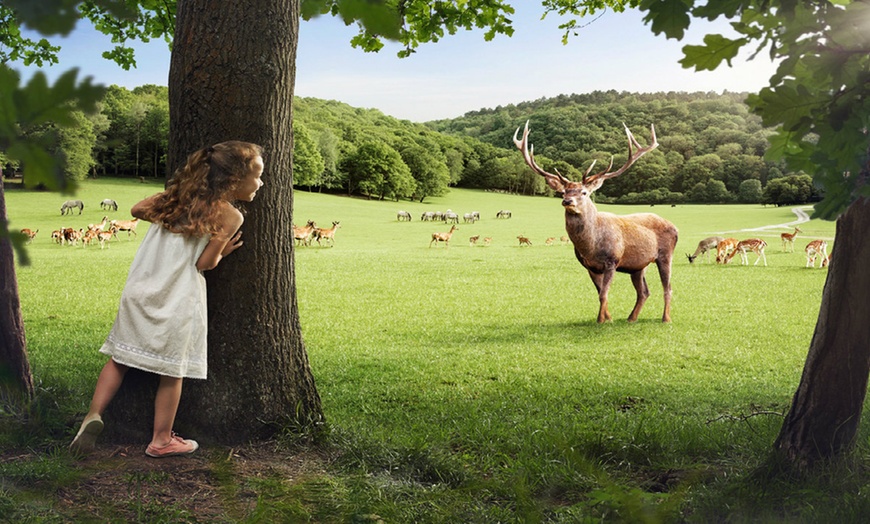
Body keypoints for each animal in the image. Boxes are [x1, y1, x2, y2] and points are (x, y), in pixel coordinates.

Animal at [516, 122, 676, 324]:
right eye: (563, 192)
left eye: (584, 192)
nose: (567, 201)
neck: (590, 246)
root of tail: (675, 227)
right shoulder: (589, 266)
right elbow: (600, 293)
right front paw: (609, 318)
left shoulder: (612, 260)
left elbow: (604, 293)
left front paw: (601, 320)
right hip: (638, 266)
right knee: (644, 292)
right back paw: (631, 318)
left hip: (665, 254)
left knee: (668, 287)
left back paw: (666, 318)